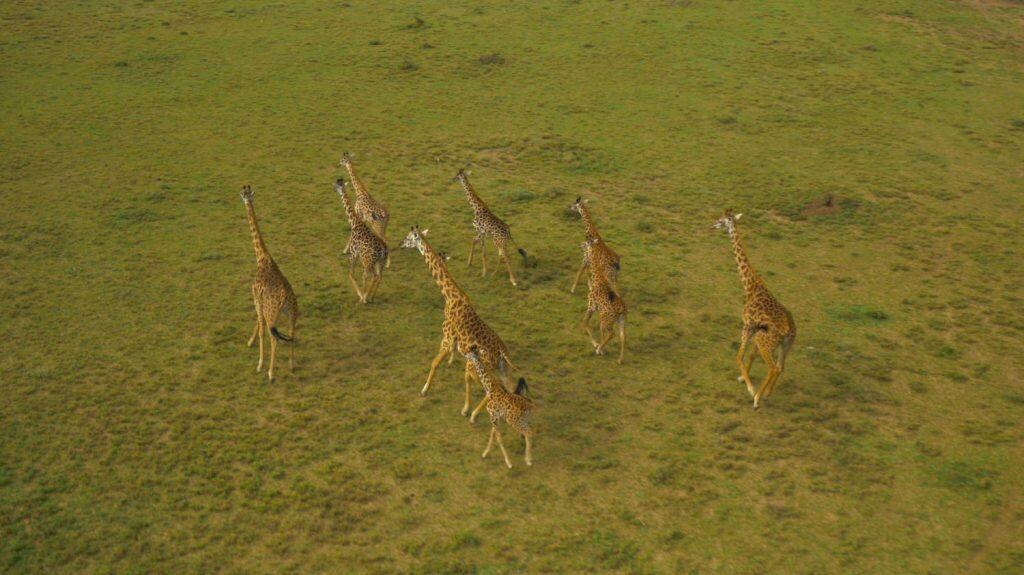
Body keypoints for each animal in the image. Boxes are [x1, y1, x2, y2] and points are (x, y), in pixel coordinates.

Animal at [240, 185, 298, 383]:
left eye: (245, 195)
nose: (245, 198)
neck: (262, 257)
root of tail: (285, 297)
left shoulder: (256, 298)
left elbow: (261, 328)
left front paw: (259, 363)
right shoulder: (260, 302)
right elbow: (259, 325)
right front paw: (250, 342)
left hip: (272, 313)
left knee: (275, 338)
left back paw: (271, 373)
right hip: (292, 313)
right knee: (292, 333)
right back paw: (291, 365)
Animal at [399, 226, 516, 419]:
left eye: (409, 238)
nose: (400, 244)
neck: (450, 295)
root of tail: (502, 351)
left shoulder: (446, 335)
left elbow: (434, 362)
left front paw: (424, 390)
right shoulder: (452, 339)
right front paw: (450, 362)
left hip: (477, 366)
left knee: (492, 387)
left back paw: (472, 414)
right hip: (501, 368)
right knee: (508, 387)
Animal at [712, 210, 796, 409]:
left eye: (721, 221)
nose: (712, 226)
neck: (750, 286)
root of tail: (790, 331)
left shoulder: (747, 326)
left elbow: (739, 357)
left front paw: (750, 388)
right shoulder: (755, 329)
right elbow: (749, 356)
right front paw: (743, 379)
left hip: (765, 342)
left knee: (773, 367)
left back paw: (757, 398)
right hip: (784, 346)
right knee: (780, 367)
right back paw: (767, 393)